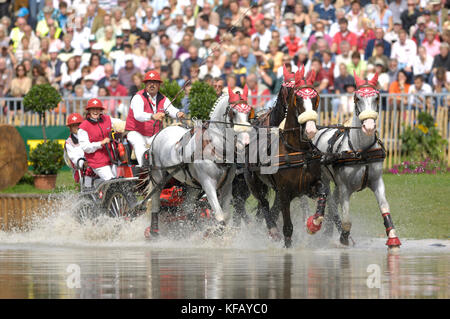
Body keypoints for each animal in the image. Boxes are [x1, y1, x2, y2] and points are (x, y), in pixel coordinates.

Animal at [244, 67, 328, 248]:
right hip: (252, 181)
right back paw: (272, 229)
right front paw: (286, 244)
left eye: (315, 97)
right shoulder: (284, 192)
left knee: (272, 208)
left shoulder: (309, 187)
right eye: (297, 97)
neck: (297, 149)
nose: (310, 129)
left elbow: (323, 192)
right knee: (264, 203)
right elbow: (288, 227)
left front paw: (314, 223)